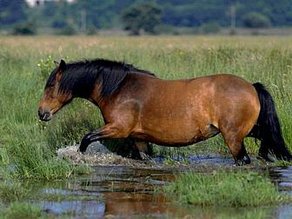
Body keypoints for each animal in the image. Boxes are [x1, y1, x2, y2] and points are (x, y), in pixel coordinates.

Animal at [37, 58, 290, 164]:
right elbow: (146, 159)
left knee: (243, 160)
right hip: (249, 130)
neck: (119, 88)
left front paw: (78, 156)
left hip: (233, 137)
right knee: (266, 139)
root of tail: (251, 87)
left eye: (50, 86)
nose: (42, 113)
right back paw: (267, 155)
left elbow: (87, 138)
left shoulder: (118, 129)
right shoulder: (138, 138)